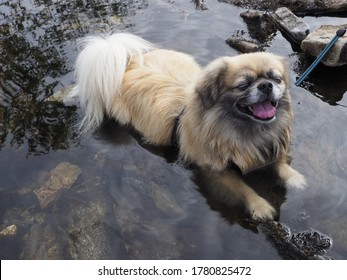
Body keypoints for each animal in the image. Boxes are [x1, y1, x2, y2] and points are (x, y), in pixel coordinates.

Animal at [73, 32, 308, 220]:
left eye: (276, 79)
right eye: (243, 85)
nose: (266, 85)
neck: (247, 131)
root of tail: (127, 65)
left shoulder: (268, 149)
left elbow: (280, 164)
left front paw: (296, 179)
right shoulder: (215, 170)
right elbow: (243, 188)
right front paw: (260, 206)